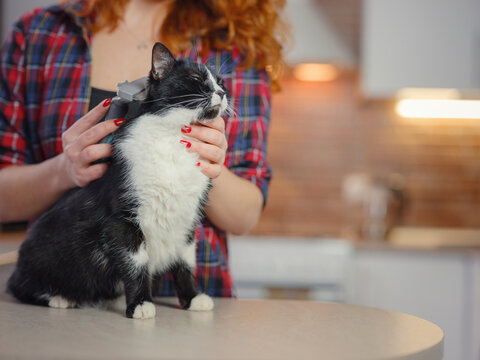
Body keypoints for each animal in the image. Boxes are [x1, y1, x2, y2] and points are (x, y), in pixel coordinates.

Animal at [7, 43, 229, 320]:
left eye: (221, 81)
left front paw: (192, 298)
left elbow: (185, 263)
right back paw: (59, 297)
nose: (222, 92)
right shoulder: (122, 219)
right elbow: (136, 263)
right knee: (17, 286)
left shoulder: (187, 219)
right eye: (196, 79)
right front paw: (140, 304)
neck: (173, 140)